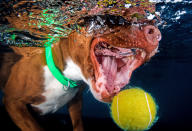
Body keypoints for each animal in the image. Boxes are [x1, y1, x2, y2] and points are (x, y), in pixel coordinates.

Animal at [0, 12, 162, 131]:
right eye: (112, 19)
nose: (155, 32)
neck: (67, 77)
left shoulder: (76, 101)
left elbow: (78, 124)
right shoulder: (12, 102)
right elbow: (35, 128)